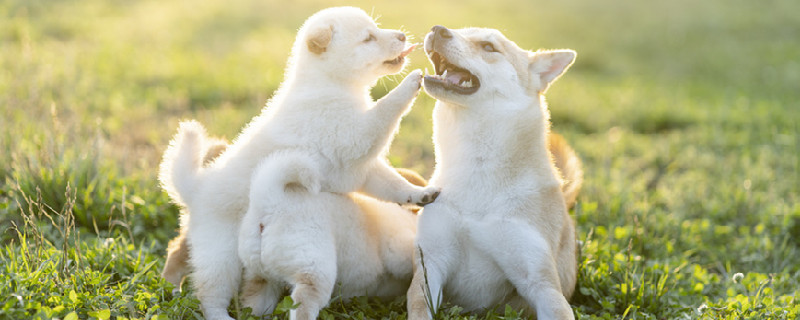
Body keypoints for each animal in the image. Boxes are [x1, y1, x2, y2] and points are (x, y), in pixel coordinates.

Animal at [157, 7, 438, 320]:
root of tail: (196, 188)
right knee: (209, 292)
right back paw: (214, 311)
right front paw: (410, 83)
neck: (330, 85)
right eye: (368, 38)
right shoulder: (357, 135)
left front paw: (419, 195)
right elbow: (386, 109)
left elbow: (394, 184)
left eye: (376, 29)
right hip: (222, 253)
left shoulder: (360, 170)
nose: (401, 36)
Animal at [406, 25, 580, 320]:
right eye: (461, 31)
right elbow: (420, 306)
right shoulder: (431, 264)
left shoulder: (541, 282)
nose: (438, 29)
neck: (478, 169)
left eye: (488, 47)